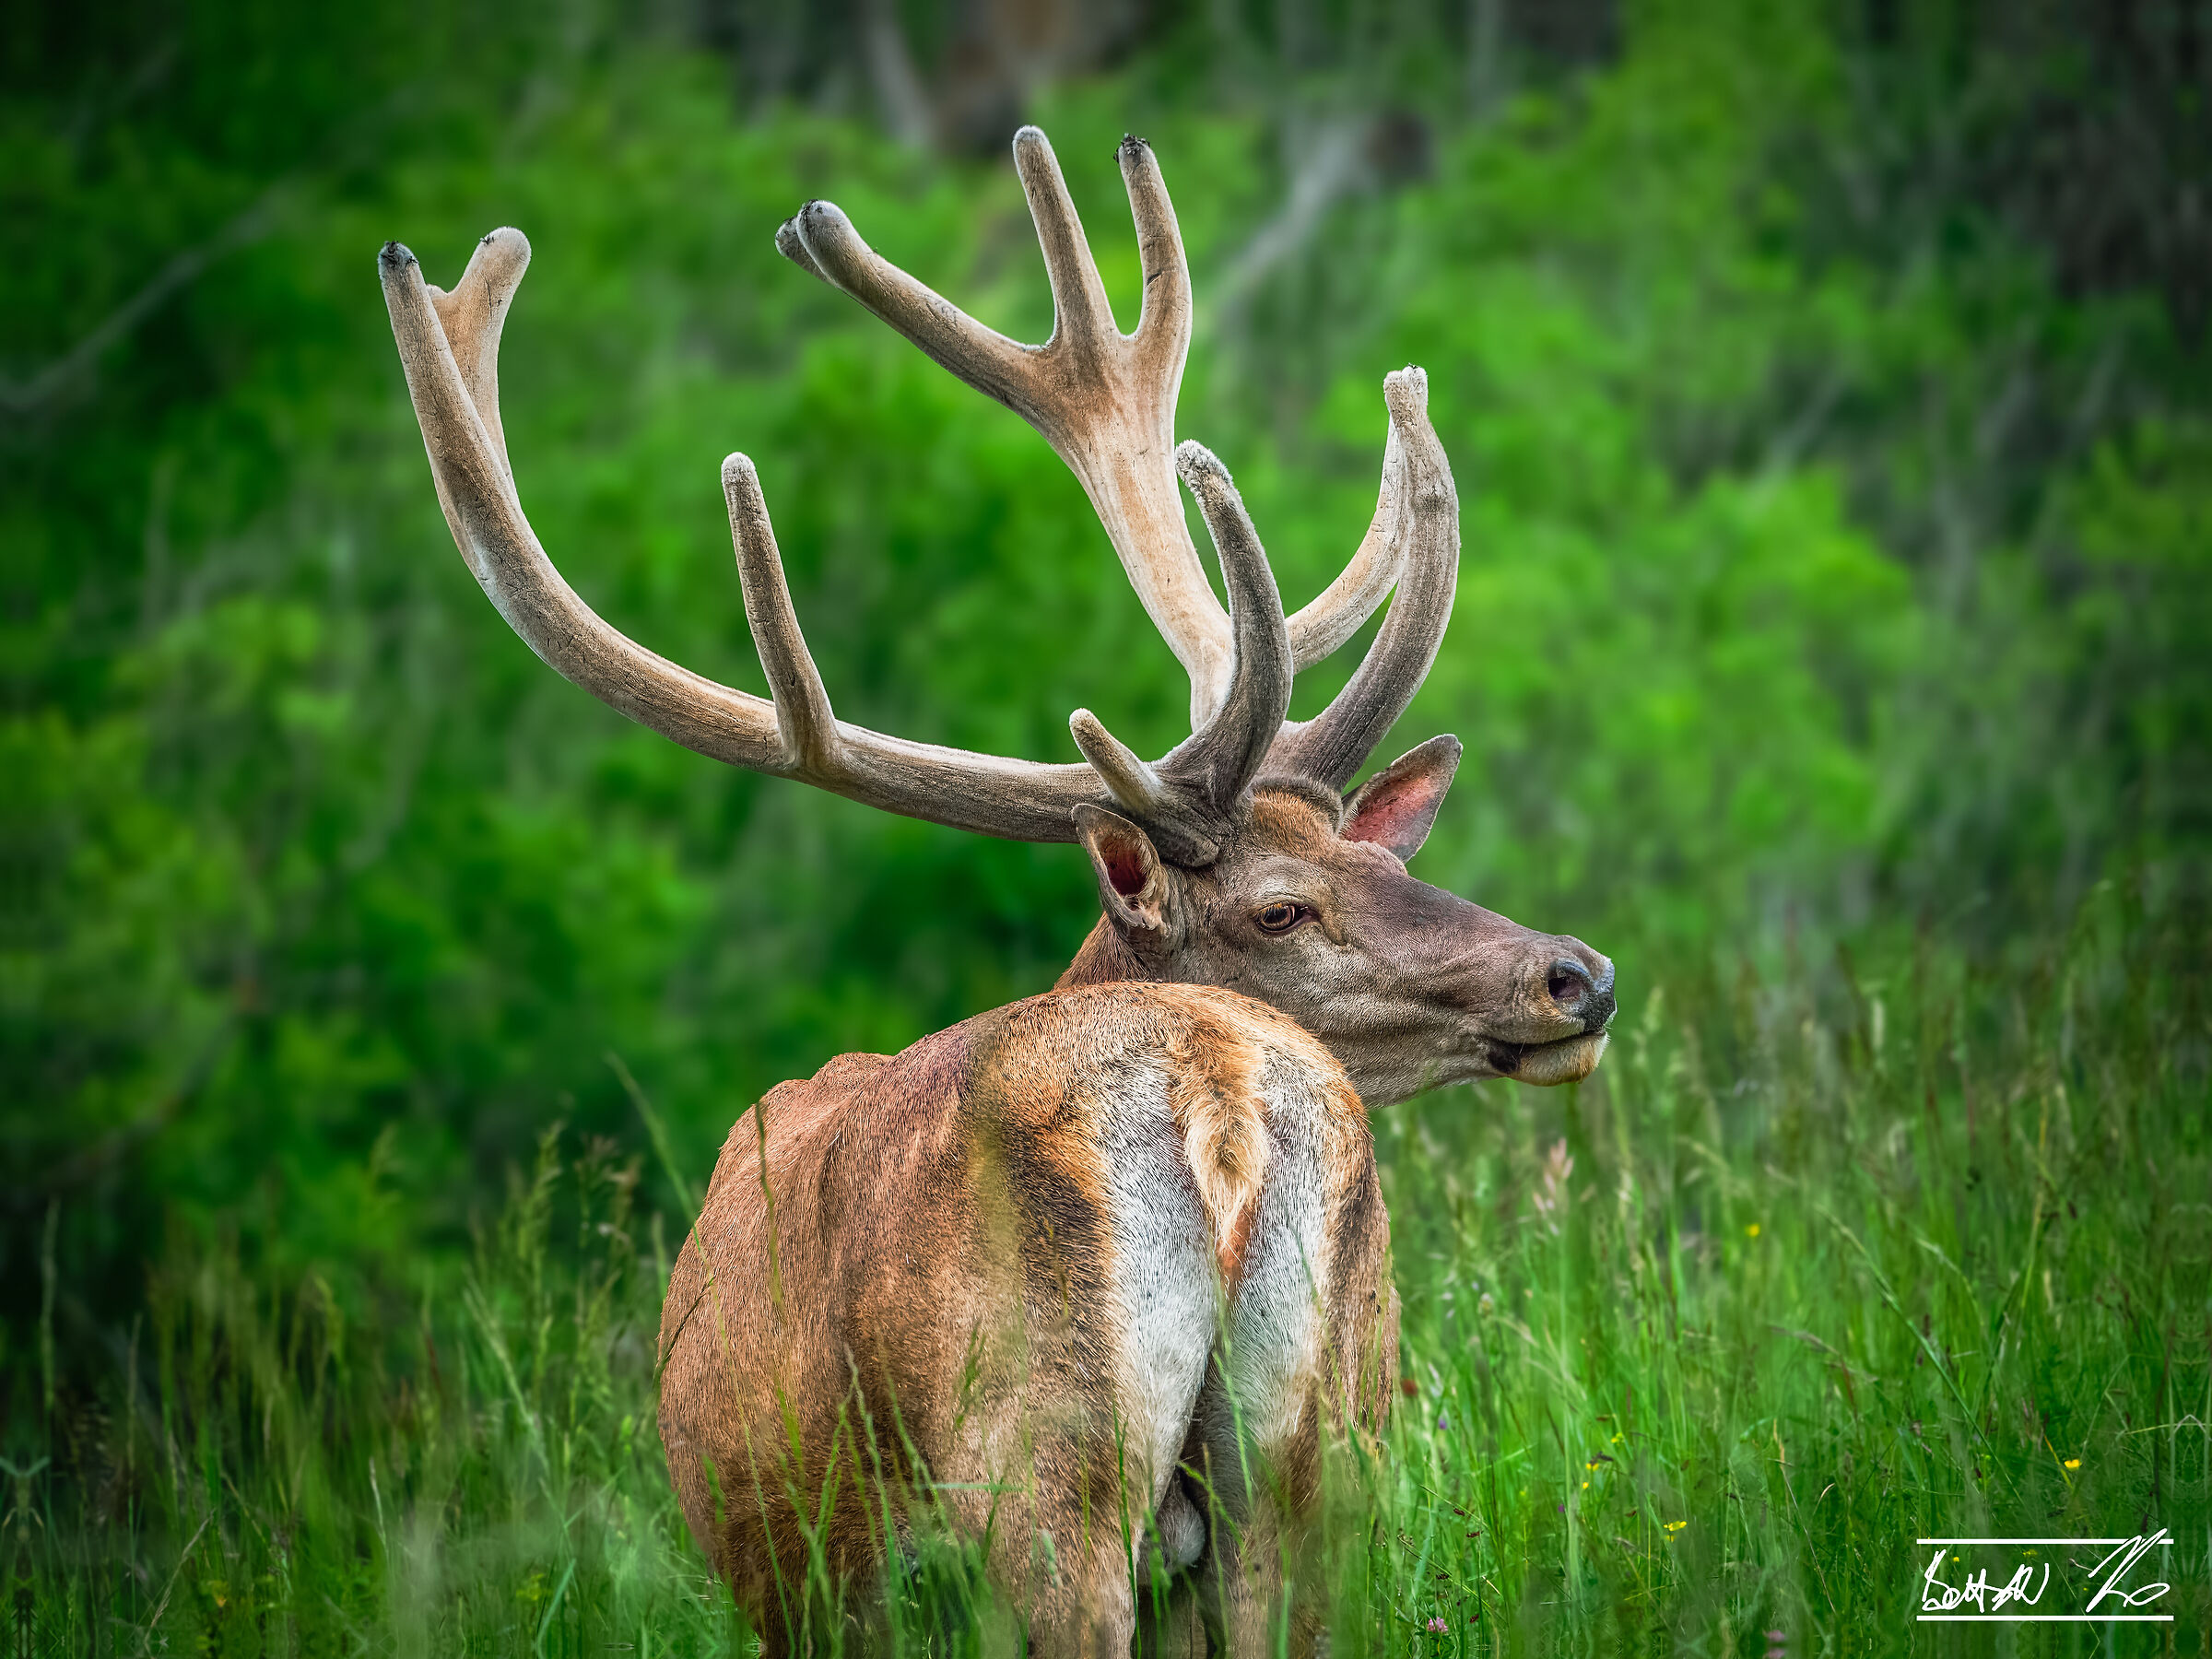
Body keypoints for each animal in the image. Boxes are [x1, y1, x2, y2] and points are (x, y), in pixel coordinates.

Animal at [379, 126, 1614, 1656]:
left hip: (1040, 1470)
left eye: (1387, 860)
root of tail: (1221, 1104)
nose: (1576, 974)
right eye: (1287, 903)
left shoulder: (801, 1590)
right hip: (1322, 1453)